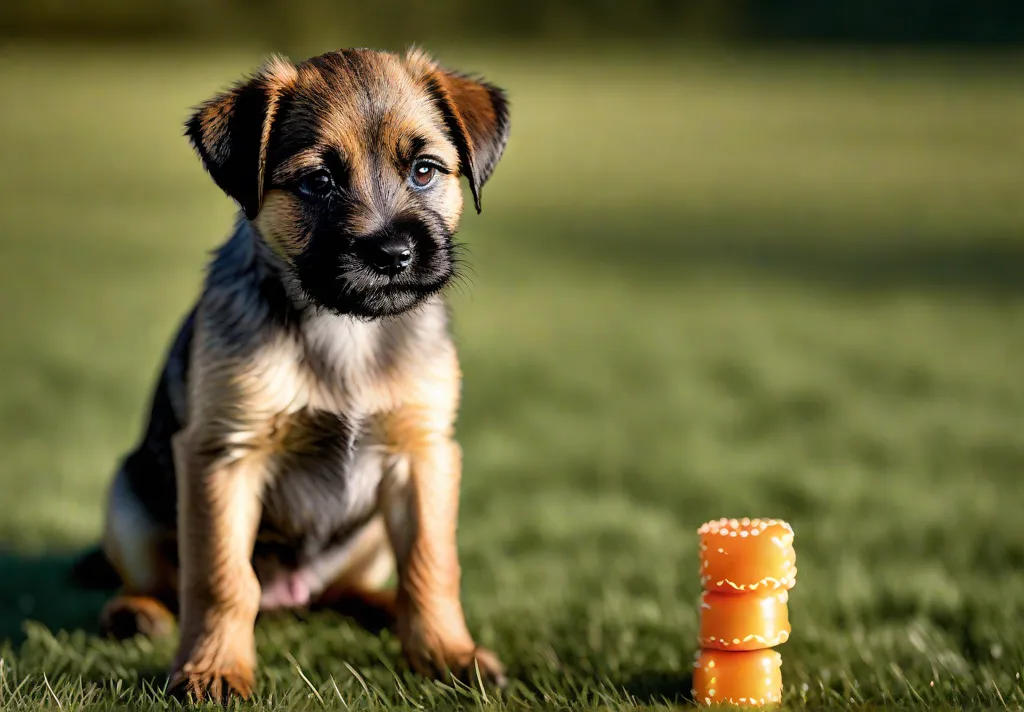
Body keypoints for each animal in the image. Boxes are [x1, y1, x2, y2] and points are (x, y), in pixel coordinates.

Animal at [83, 48, 512, 700]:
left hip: (370, 534)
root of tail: (288, 599)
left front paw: (447, 654)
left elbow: (432, 566)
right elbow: (220, 580)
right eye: (318, 182)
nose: (393, 254)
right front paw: (214, 668)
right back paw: (135, 613)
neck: (346, 330)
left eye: (424, 170)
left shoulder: (423, 455)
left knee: (344, 589)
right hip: (127, 501)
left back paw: (381, 609)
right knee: (157, 583)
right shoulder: (223, 457)